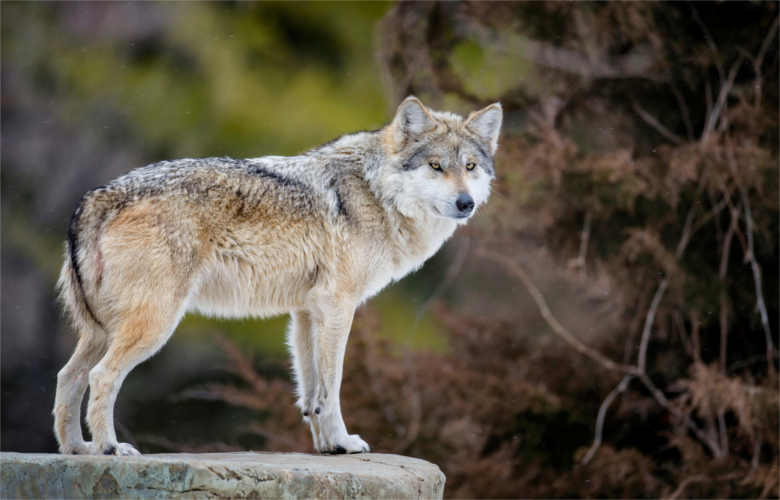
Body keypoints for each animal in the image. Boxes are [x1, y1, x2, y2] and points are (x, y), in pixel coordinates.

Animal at [53, 96, 502, 455]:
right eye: (436, 166)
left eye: (470, 167)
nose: (466, 203)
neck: (376, 192)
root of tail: (97, 195)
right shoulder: (337, 306)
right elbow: (332, 385)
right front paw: (344, 442)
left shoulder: (307, 312)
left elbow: (311, 392)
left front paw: (327, 447)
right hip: (154, 325)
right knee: (100, 377)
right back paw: (109, 448)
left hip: (101, 331)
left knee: (68, 377)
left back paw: (78, 450)